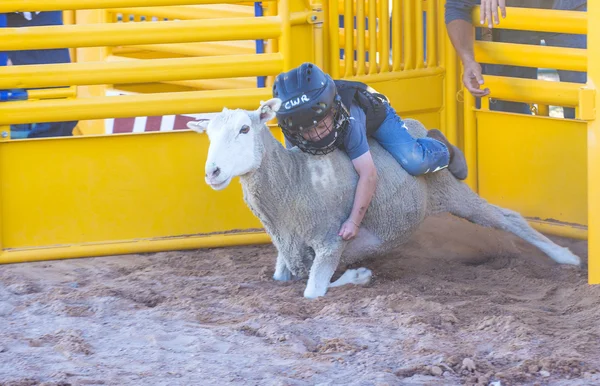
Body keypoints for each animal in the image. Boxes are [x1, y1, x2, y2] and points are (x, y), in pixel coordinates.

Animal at [188, 98, 580, 300]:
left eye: (245, 129)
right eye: (207, 134)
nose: (212, 172)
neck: (294, 182)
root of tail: (415, 126)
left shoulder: (331, 241)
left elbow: (314, 291)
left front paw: (358, 275)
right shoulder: (288, 249)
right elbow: (282, 279)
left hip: (450, 190)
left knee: (506, 218)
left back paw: (566, 256)